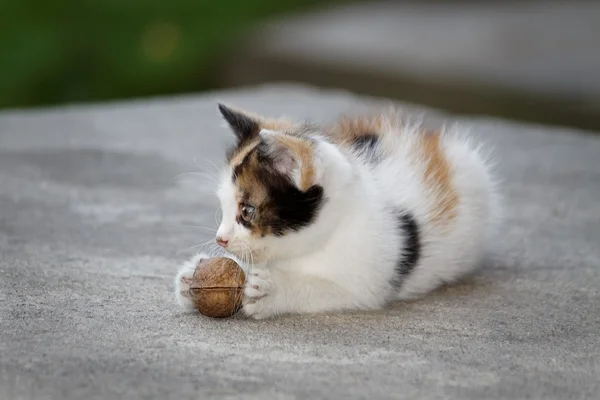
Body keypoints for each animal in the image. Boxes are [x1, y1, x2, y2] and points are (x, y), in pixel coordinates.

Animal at [175, 103, 502, 318]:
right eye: (223, 207)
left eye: (247, 211)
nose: (220, 239)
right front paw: (193, 275)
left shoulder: (368, 279)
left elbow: (326, 289)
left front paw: (272, 290)